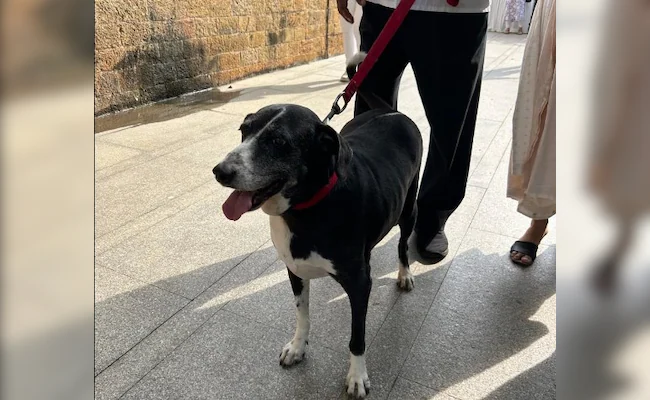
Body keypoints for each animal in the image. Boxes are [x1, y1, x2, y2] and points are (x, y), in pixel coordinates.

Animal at [213, 57, 422, 398]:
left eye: (279, 142)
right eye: (244, 131)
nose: (220, 171)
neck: (306, 210)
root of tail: (389, 111)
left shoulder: (360, 284)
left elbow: (357, 336)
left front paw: (356, 376)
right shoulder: (295, 271)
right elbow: (302, 314)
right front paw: (298, 348)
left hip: (408, 208)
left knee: (403, 243)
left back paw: (404, 274)